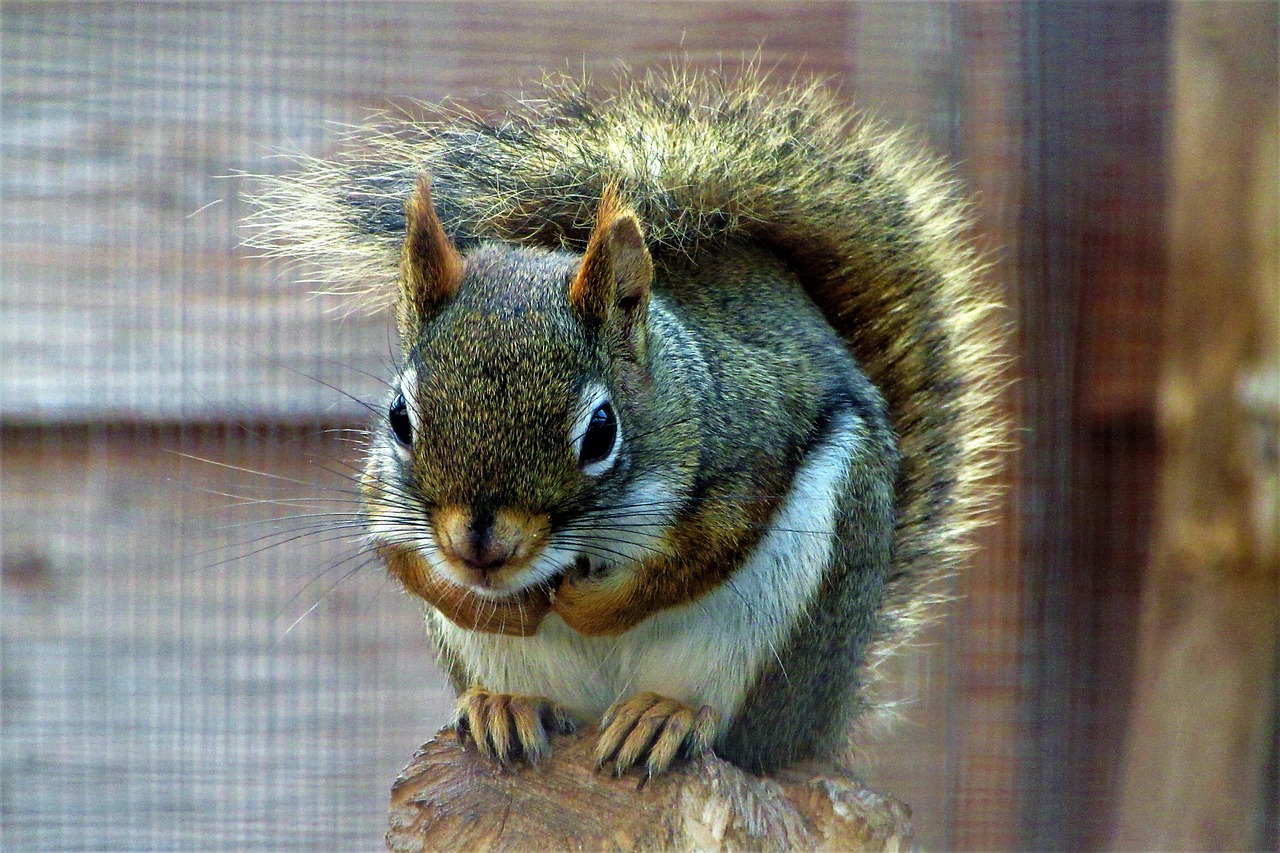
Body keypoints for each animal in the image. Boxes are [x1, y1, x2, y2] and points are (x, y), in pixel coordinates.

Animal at [244, 67, 1004, 778]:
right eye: (401, 419)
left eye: (602, 430)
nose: (480, 548)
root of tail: (826, 721)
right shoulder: (386, 496)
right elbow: (404, 557)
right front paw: (493, 603)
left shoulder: (746, 448)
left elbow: (693, 557)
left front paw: (590, 608)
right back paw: (505, 705)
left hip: (798, 605)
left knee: (735, 728)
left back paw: (666, 716)